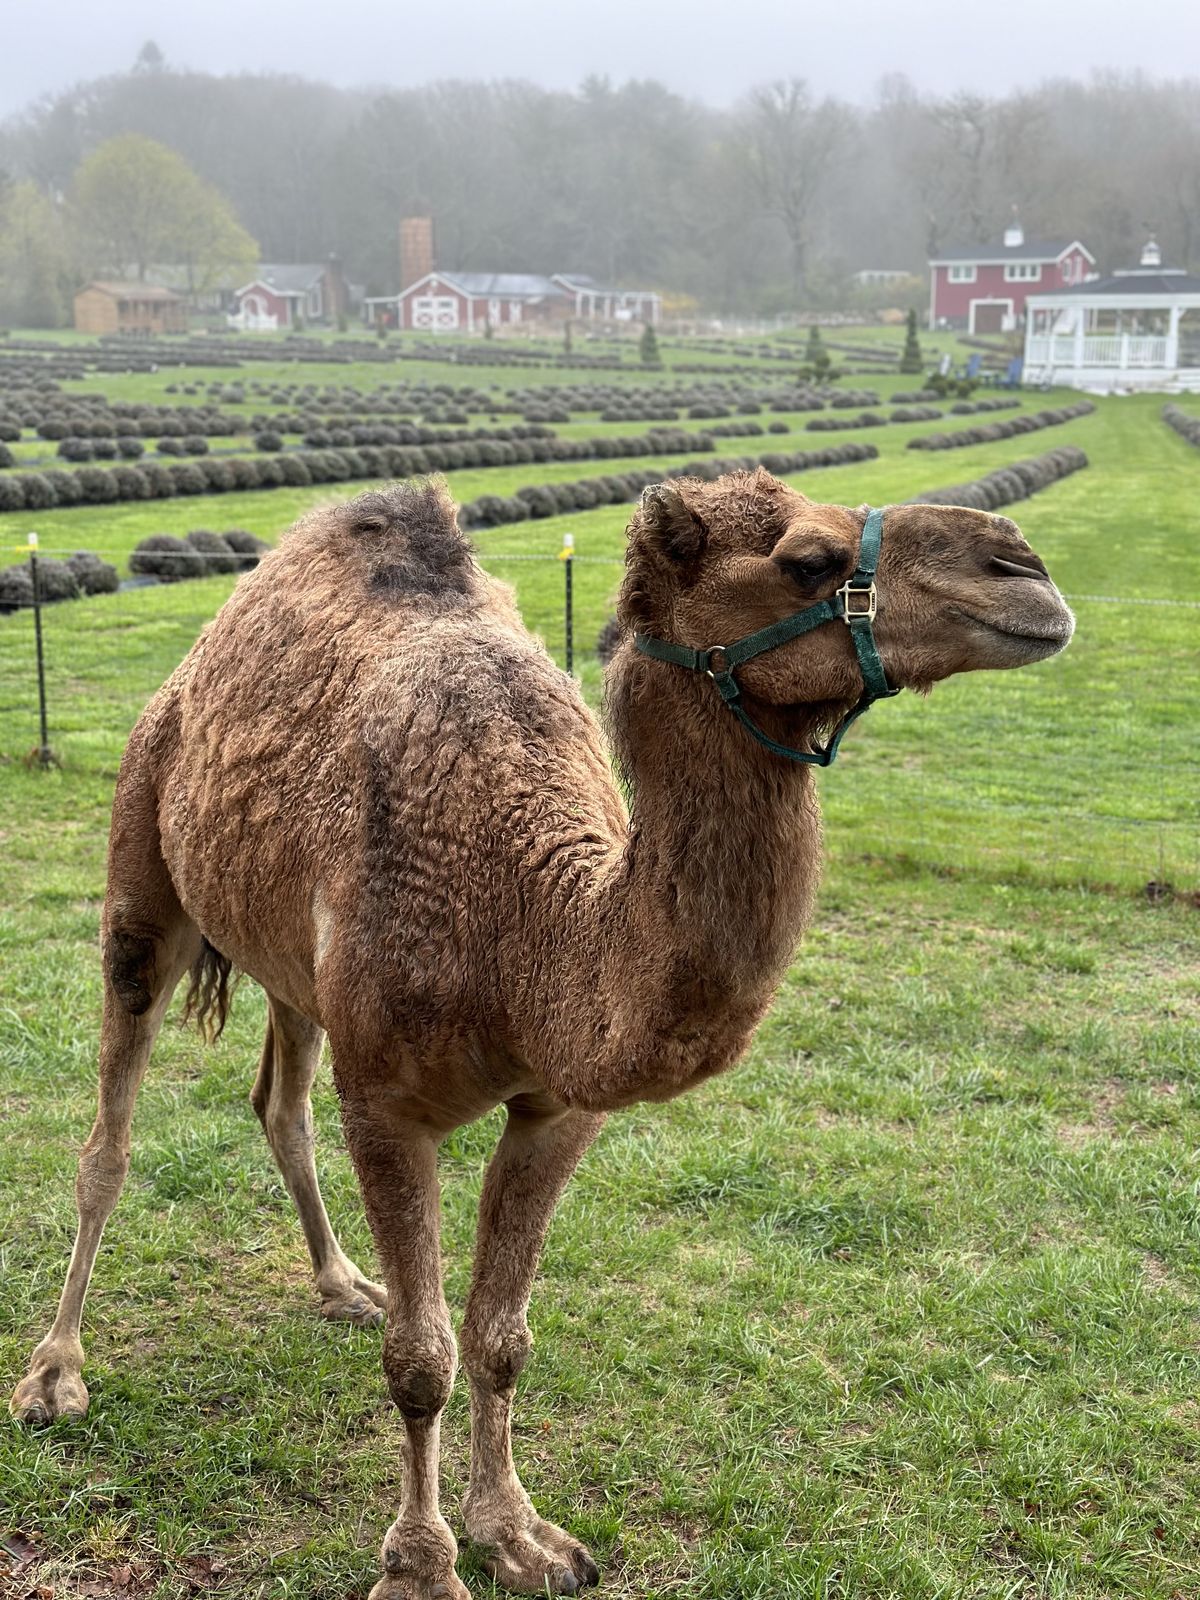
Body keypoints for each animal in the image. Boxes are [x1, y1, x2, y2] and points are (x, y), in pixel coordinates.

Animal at [11, 469, 1073, 1598]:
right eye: (808, 559)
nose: (1025, 571)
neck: (527, 919)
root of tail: (189, 671)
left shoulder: (561, 1107)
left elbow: (499, 1335)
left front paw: (518, 1530)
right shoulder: (386, 1104)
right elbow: (422, 1357)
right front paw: (421, 1562)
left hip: (287, 950)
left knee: (278, 1100)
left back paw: (343, 1284)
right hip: (141, 869)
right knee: (109, 1138)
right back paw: (55, 1373)